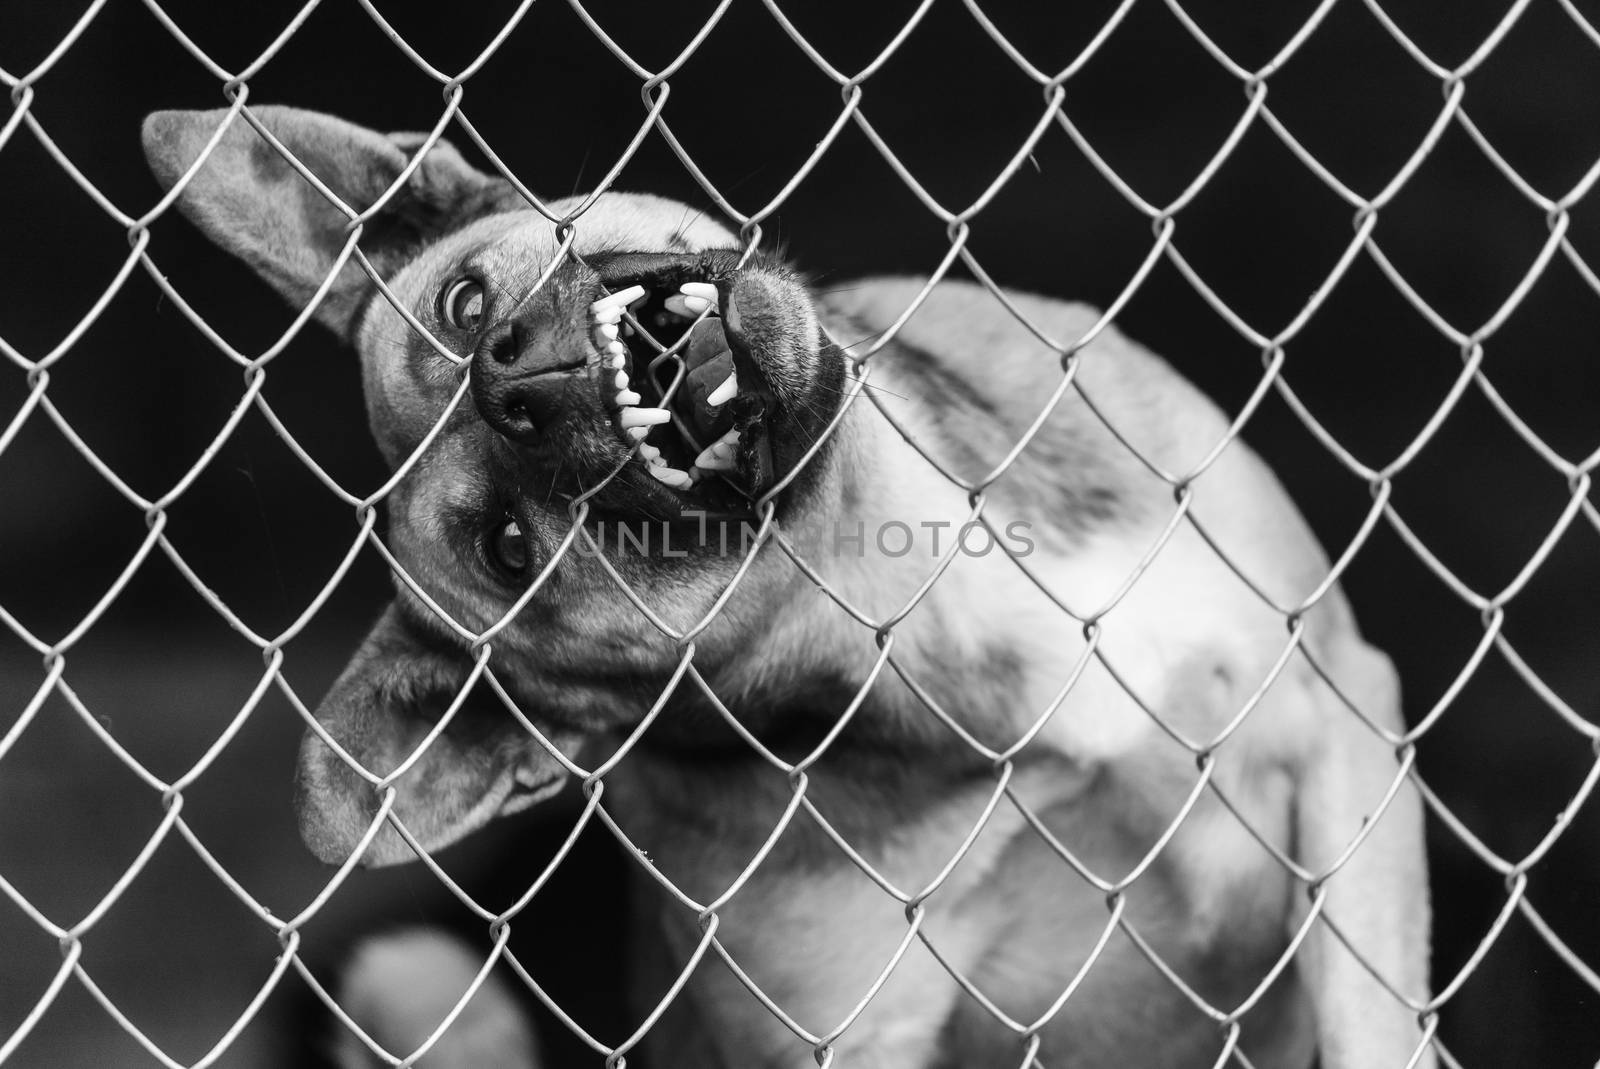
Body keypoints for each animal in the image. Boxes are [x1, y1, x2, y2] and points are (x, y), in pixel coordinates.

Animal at [140, 106, 1440, 1069]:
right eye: (510, 550)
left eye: (464, 303)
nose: (515, 386)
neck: (907, 581)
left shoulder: (1335, 715)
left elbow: (1372, 1019)